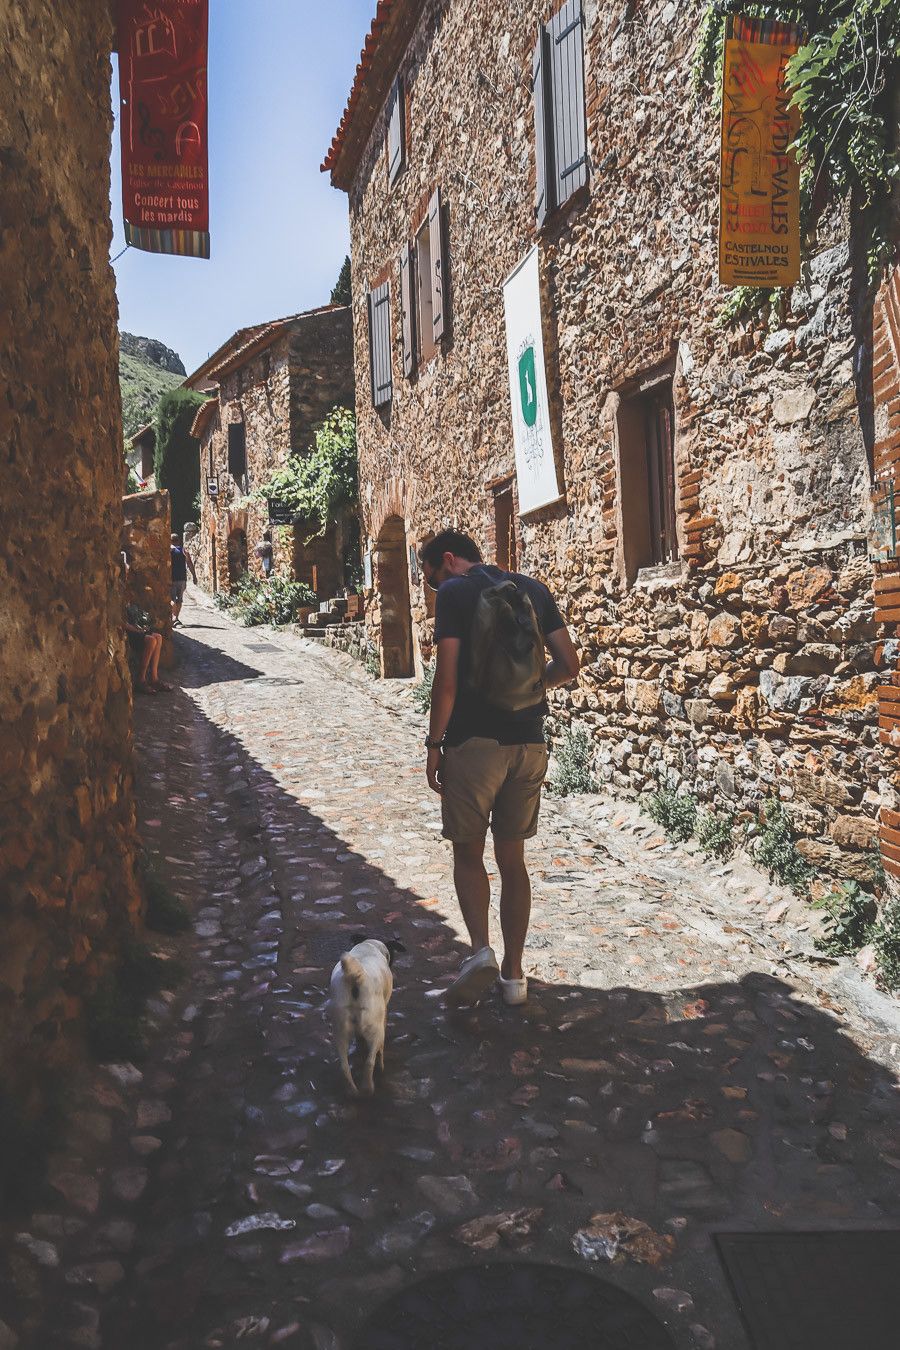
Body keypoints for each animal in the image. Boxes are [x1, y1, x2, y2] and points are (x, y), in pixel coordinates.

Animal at [327, 939, 404, 1096]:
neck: (369, 946)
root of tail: (355, 975)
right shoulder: (383, 1016)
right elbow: (380, 1049)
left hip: (340, 1030)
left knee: (344, 1066)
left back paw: (352, 1091)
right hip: (375, 1029)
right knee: (370, 1061)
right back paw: (369, 1087)